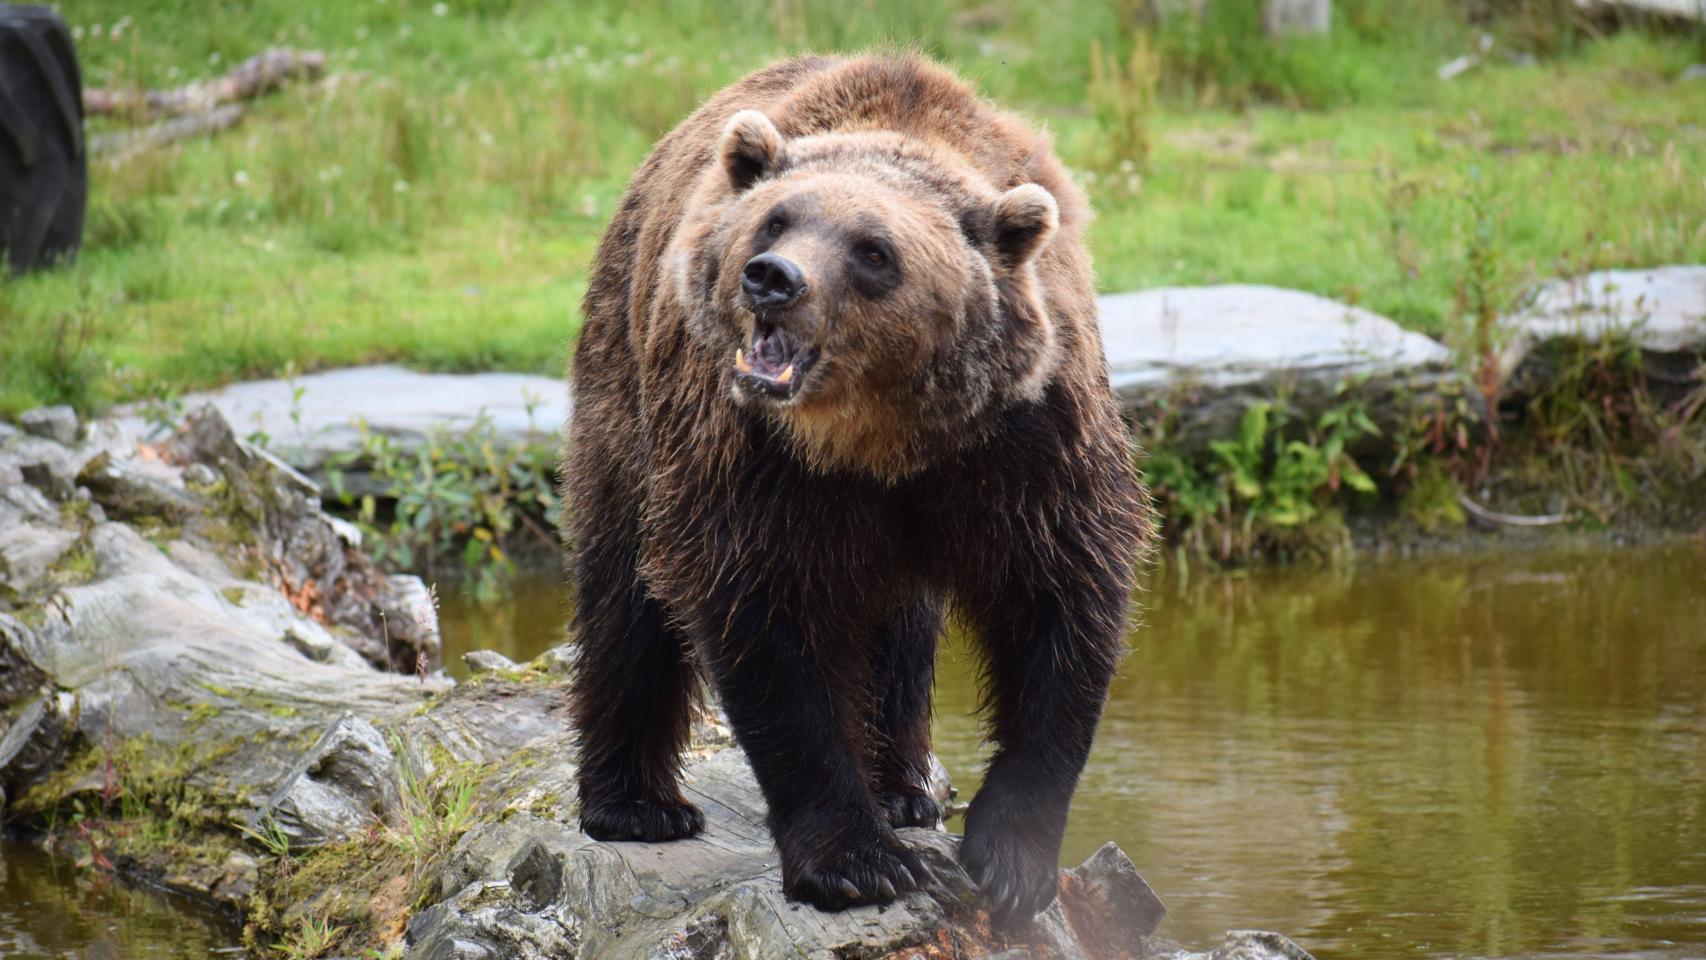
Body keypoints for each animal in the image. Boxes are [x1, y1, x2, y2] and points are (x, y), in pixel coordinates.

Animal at [563, 53, 1150, 926]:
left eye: (874, 250)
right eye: (776, 221)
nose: (772, 279)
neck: (880, 437)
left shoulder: (1029, 446)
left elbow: (1060, 604)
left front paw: (1012, 860)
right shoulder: (750, 459)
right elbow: (771, 628)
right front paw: (856, 862)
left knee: (901, 631)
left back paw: (908, 788)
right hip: (626, 393)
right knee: (625, 592)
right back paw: (637, 805)